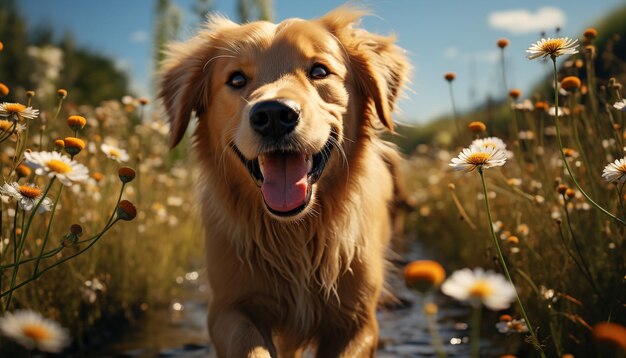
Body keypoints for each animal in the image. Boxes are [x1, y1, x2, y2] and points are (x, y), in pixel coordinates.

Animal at [158, 6, 408, 358]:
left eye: (319, 71)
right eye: (236, 79)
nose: (274, 115)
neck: (296, 234)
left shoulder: (356, 320)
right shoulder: (229, 307)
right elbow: (249, 345)